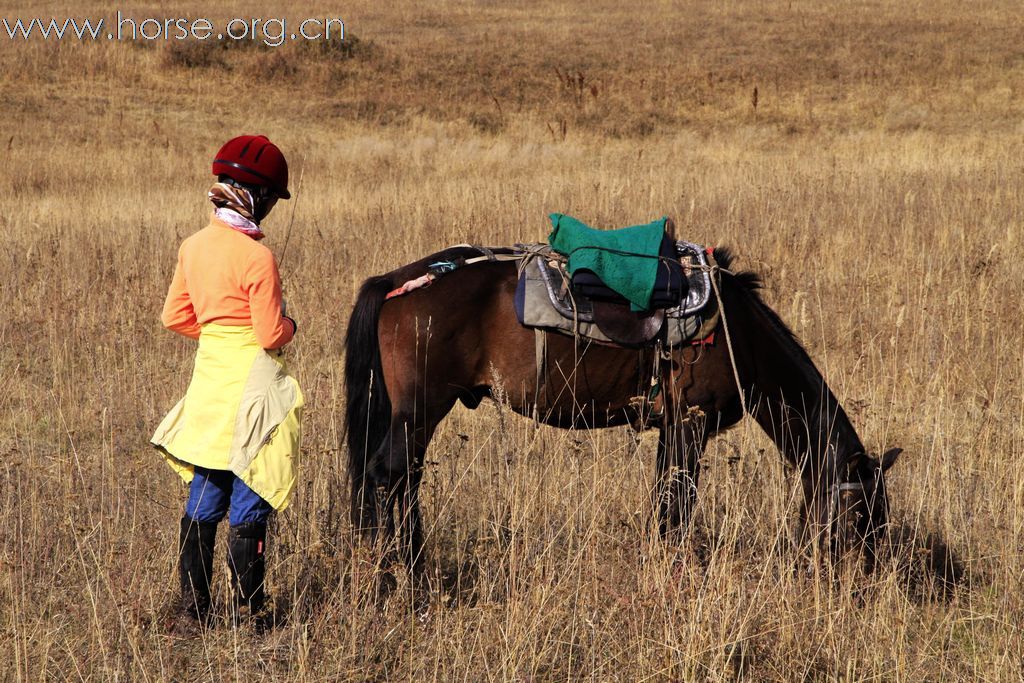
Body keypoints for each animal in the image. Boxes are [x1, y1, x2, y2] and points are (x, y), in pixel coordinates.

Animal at [346, 246, 905, 598]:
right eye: (860, 516)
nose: (864, 586)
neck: (737, 335)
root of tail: (397, 282)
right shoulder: (689, 428)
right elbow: (675, 508)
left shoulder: (672, 430)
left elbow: (665, 506)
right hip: (420, 411)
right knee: (389, 477)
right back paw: (403, 579)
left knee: (403, 481)